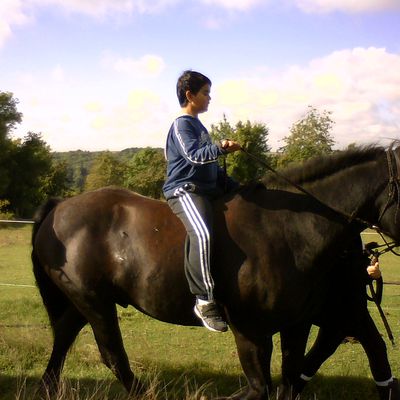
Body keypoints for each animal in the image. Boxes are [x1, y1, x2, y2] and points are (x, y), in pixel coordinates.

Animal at [31, 142, 400, 398]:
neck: (286, 228)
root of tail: (60, 207)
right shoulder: (250, 330)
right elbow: (259, 388)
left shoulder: (298, 325)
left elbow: (289, 379)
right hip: (95, 303)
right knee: (112, 356)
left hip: (87, 302)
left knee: (64, 337)